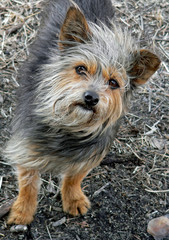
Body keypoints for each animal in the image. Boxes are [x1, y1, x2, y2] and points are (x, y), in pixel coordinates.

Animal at [3, 0, 160, 225]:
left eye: (113, 82)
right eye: (80, 69)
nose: (91, 97)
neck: (69, 125)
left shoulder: (90, 152)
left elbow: (74, 176)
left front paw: (73, 198)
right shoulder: (25, 146)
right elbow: (29, 182)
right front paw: (22, 211)